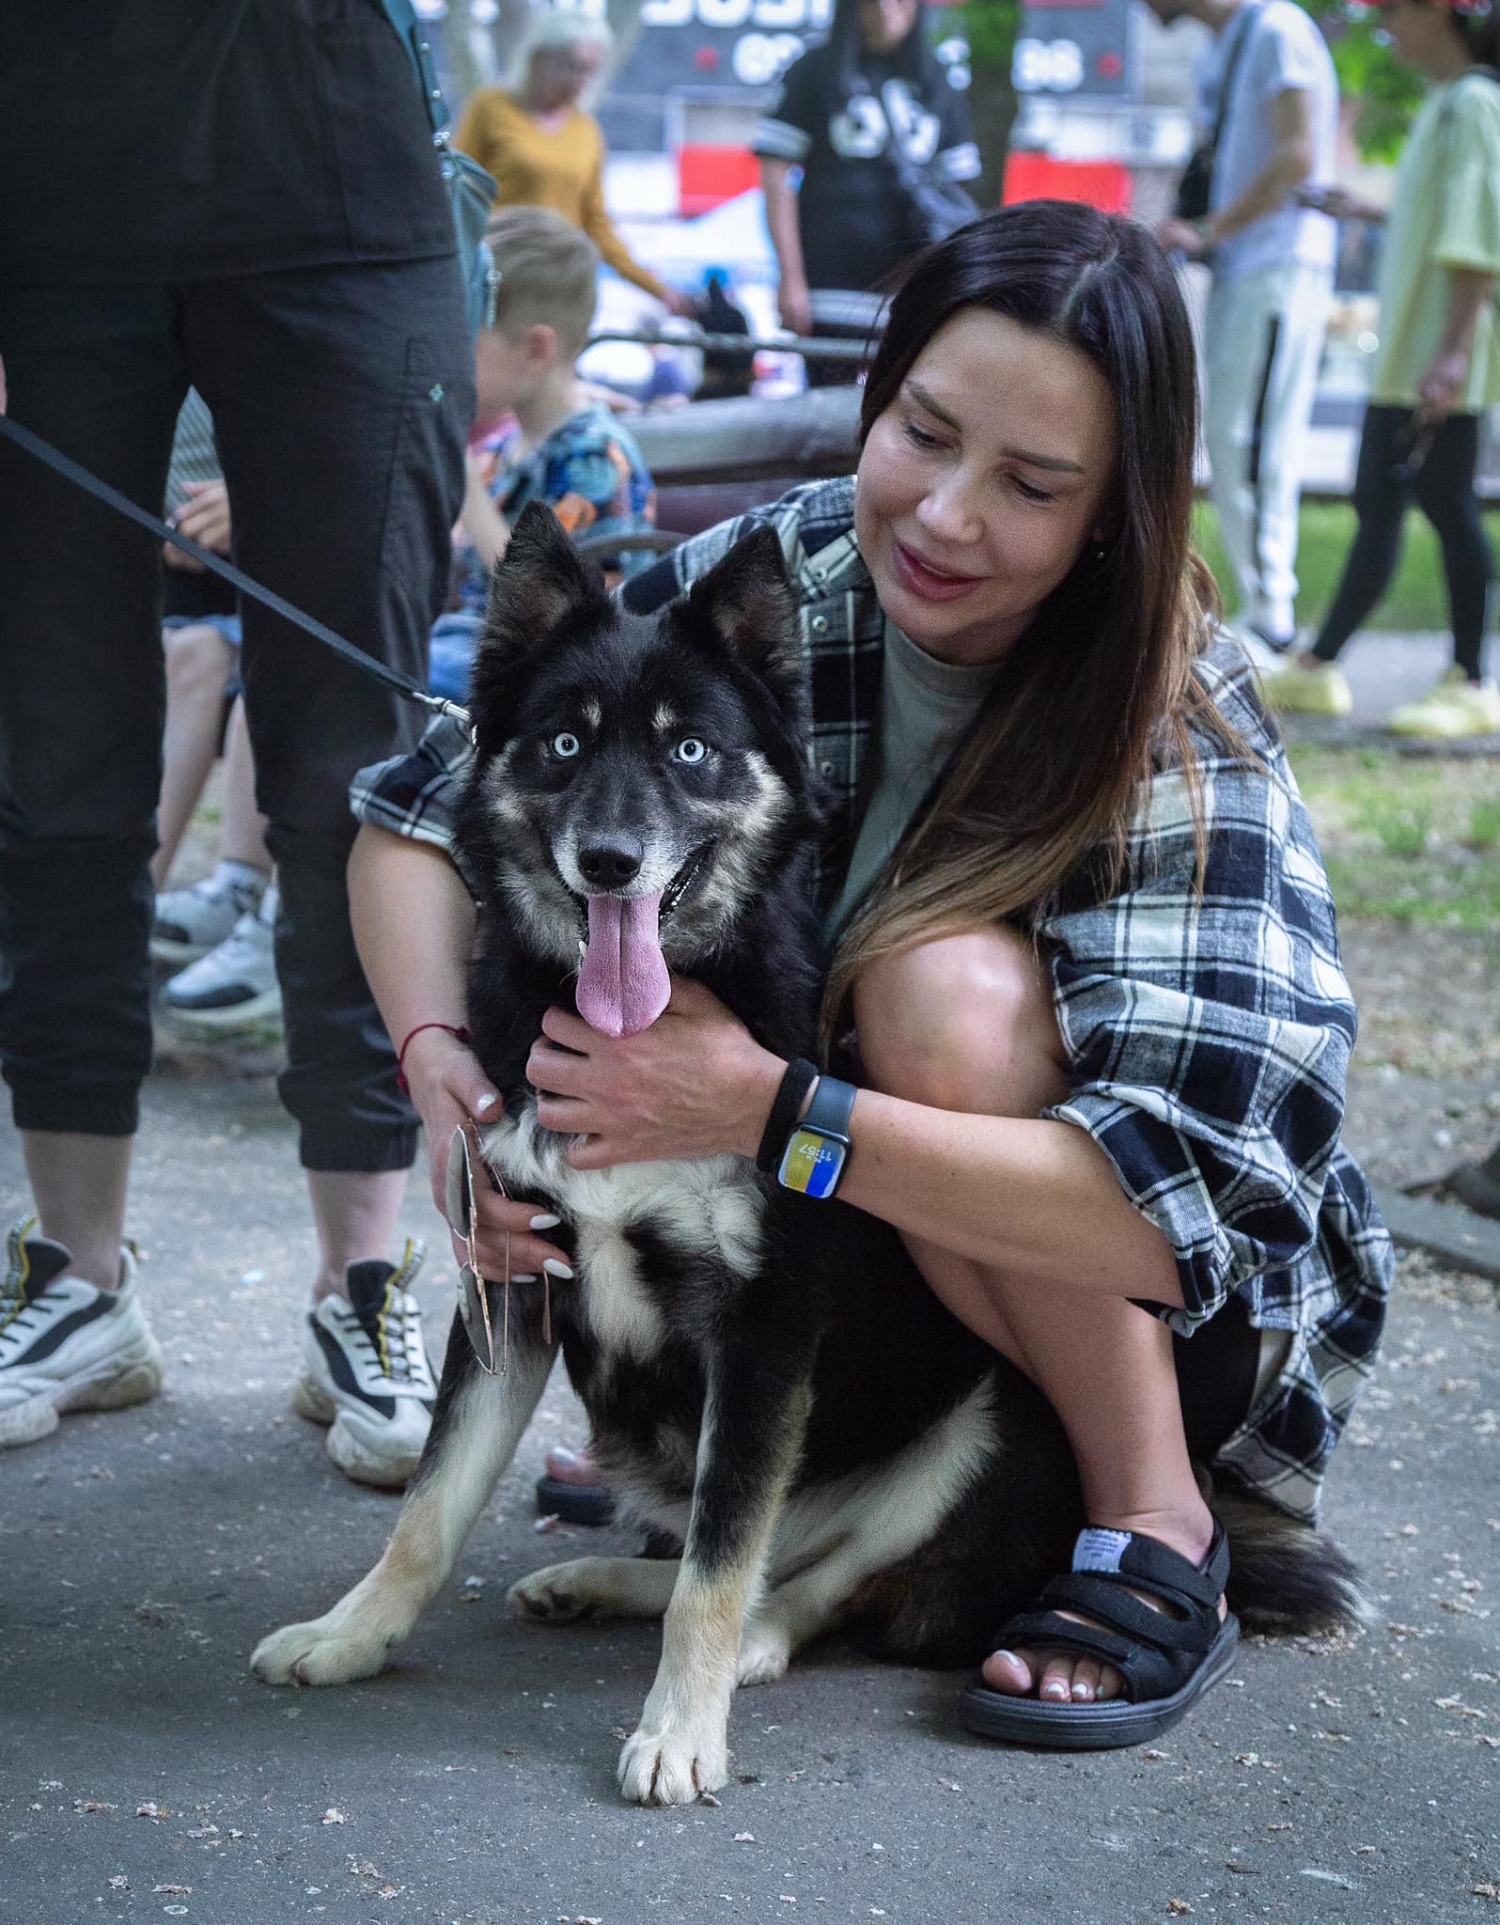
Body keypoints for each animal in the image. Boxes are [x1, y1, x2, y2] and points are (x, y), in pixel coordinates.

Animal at [256, 508, 1363, 1801]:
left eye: (691, 750)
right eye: (564, 742)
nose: (611, 859)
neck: (633, 1016)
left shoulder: (765, 1327)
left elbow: (720, 1569)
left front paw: (681, 1728)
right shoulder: (514, 1277)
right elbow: (429, 1513)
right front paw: (350, 1633)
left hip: (985, 1433)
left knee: (807, 1587)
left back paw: (745, 1649)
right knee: (737, 1548)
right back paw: (599, 1579)